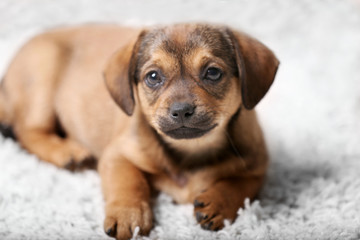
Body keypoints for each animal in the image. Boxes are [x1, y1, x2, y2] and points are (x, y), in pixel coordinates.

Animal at [0, 23, 278, 240]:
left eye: (212, 72)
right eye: (153, 76)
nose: (181, 110)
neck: (190, 151)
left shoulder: (258, 165)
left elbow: (242, 185)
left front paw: (220, 201)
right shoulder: (116, 156)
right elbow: (128, 182)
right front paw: (128, 214)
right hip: (42, 75)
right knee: (26, 131)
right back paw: (66, 152)